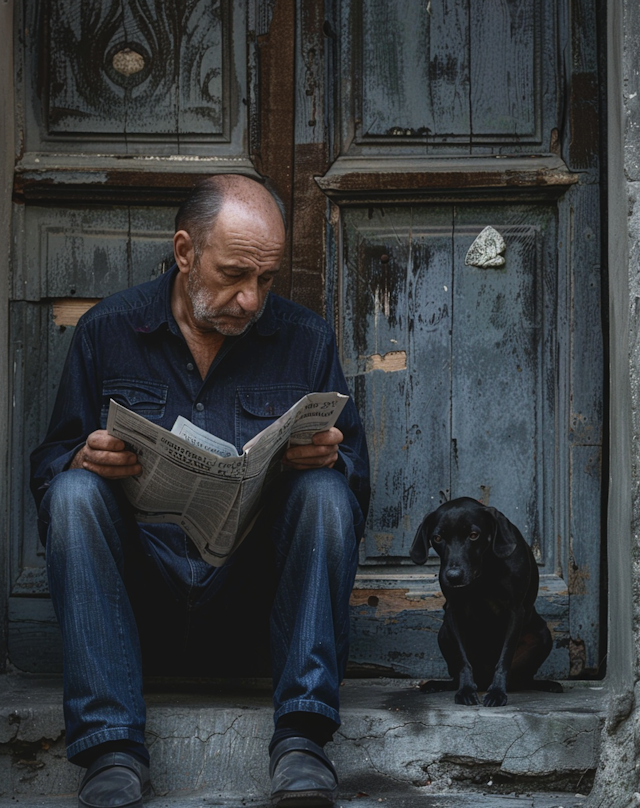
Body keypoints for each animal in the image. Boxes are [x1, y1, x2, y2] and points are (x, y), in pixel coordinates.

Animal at [410, 496, 560, 704]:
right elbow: (463, 660)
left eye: (474, 535)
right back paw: (437, 685)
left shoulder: (515, 611)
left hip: (543, 636)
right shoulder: (453, 611)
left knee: (524, 679)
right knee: (455, 676)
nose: (453, 576)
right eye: (437, 538)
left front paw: (497, 692)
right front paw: (466, 690)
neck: (483, 572)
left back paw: (546, 684)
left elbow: (504, 659)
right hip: (443, 633)